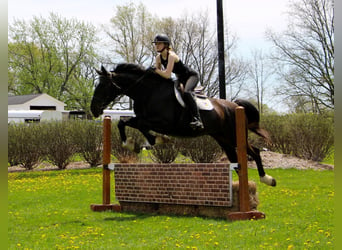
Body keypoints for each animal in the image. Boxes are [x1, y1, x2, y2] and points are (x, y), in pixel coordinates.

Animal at [90, 64, 276, 186]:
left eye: (104, 85)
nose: (93, 109)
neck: (148, 92)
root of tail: (235, 106)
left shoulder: (163, 123)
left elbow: (142, 126)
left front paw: (157, 140)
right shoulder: (143, 118)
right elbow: (123, 123)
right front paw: (130, 144)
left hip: (233, 136)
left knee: (254, 151)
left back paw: (267, 179)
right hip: (223, 139)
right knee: (236, 160)